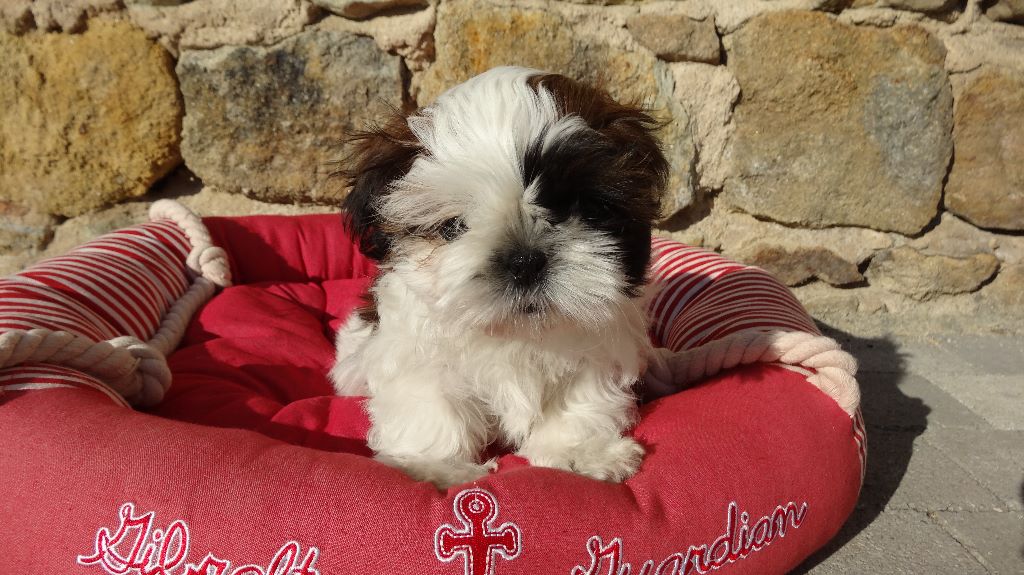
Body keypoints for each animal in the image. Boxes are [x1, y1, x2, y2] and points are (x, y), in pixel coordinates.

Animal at [329, 66, 669, 488]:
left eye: (587, 208)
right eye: (453, 227)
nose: (525, 261)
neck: (516, 334)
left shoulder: (602, 344)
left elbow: (581, 396)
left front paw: (577, 450)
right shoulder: (414, 352)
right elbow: (431, 402)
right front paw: (434, 465)